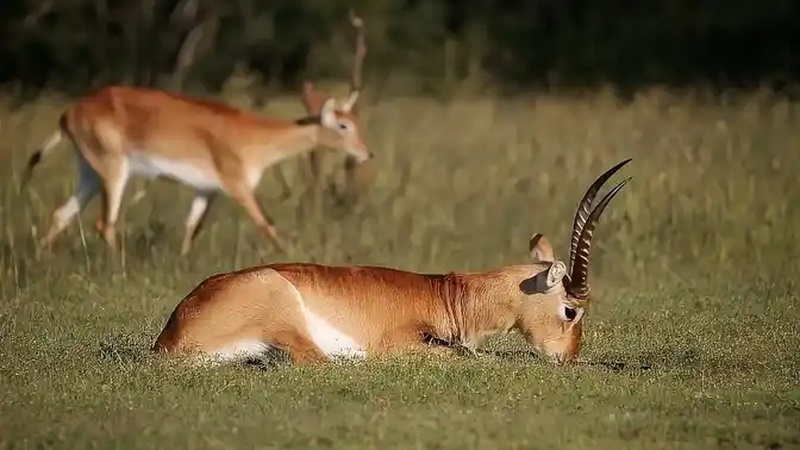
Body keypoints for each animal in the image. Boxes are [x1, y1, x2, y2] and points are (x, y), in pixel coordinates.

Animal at [18, 14, 368, 256]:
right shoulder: (238, 187)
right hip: (114, 171)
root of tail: (68, 114)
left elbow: (189, 230)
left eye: (355, 120)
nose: (367, 153)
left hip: (90, 173)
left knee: (61, 214)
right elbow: (266, 225)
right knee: (105, 223)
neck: (254, 138)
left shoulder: (206, 191)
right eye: (343, 125)